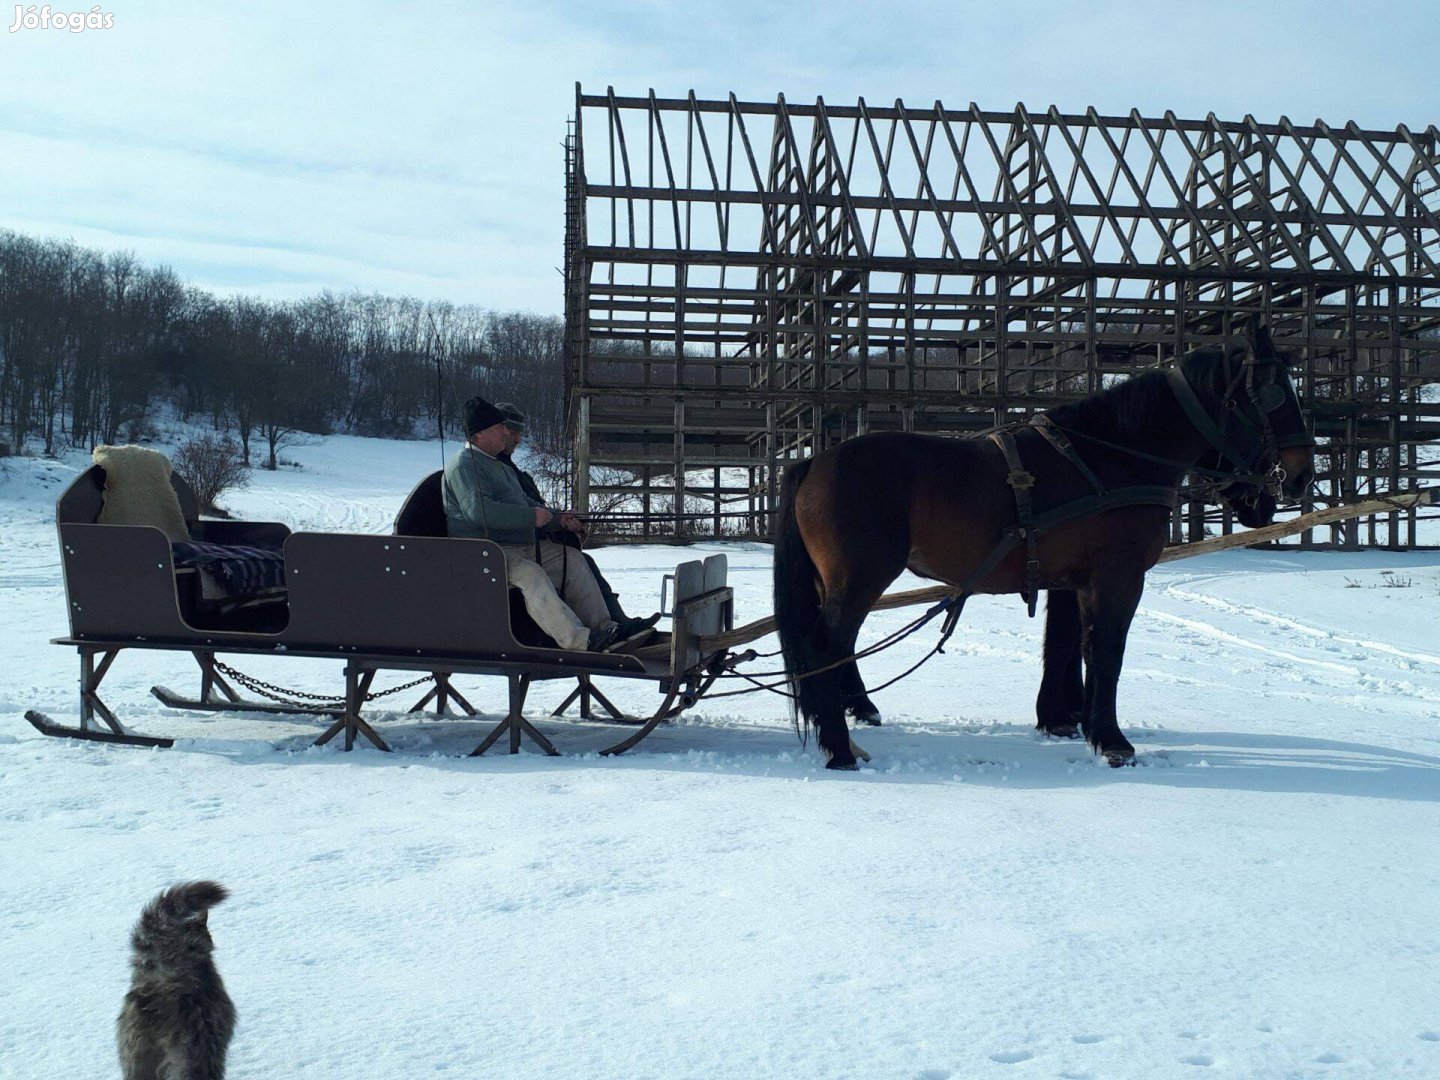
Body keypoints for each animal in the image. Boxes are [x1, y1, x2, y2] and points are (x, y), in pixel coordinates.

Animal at [777, 329, 1319, 771]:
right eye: (1273, 396)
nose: (1300, 475)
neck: (1112, 455)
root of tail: (814, 461)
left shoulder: (1074, 580)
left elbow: (1067, 647)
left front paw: (1067, 721)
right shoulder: (1118, 576)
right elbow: (1106, 652)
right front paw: (1112, 741)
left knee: (836, 649)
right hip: (862, 575)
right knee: (825, 647)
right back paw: (840, 749)